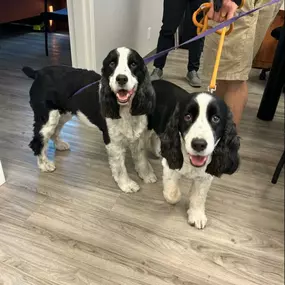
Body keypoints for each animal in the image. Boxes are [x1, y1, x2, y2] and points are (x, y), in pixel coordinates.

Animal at [21, 47, 155, 193]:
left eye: (133, 64)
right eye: (112, 64)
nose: (121, 79)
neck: (125, 109)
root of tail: (38, 73)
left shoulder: (138, 136)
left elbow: (141, 158)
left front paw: (147, 175)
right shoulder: (112, 141)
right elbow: (119, 167)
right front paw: (127, 185)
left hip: (63, 113)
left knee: (55, 131)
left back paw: (60, 145)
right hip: (47, 117)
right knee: (37, 141)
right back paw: (44, 165)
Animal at [146, 79, 240, 229]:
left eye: (215, 118)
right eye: (188, 117)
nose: (199, 144)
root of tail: (154, 80)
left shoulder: (206, 175)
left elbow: (199, 196)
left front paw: (196, 215)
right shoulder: (170, 165)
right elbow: (173, 194)